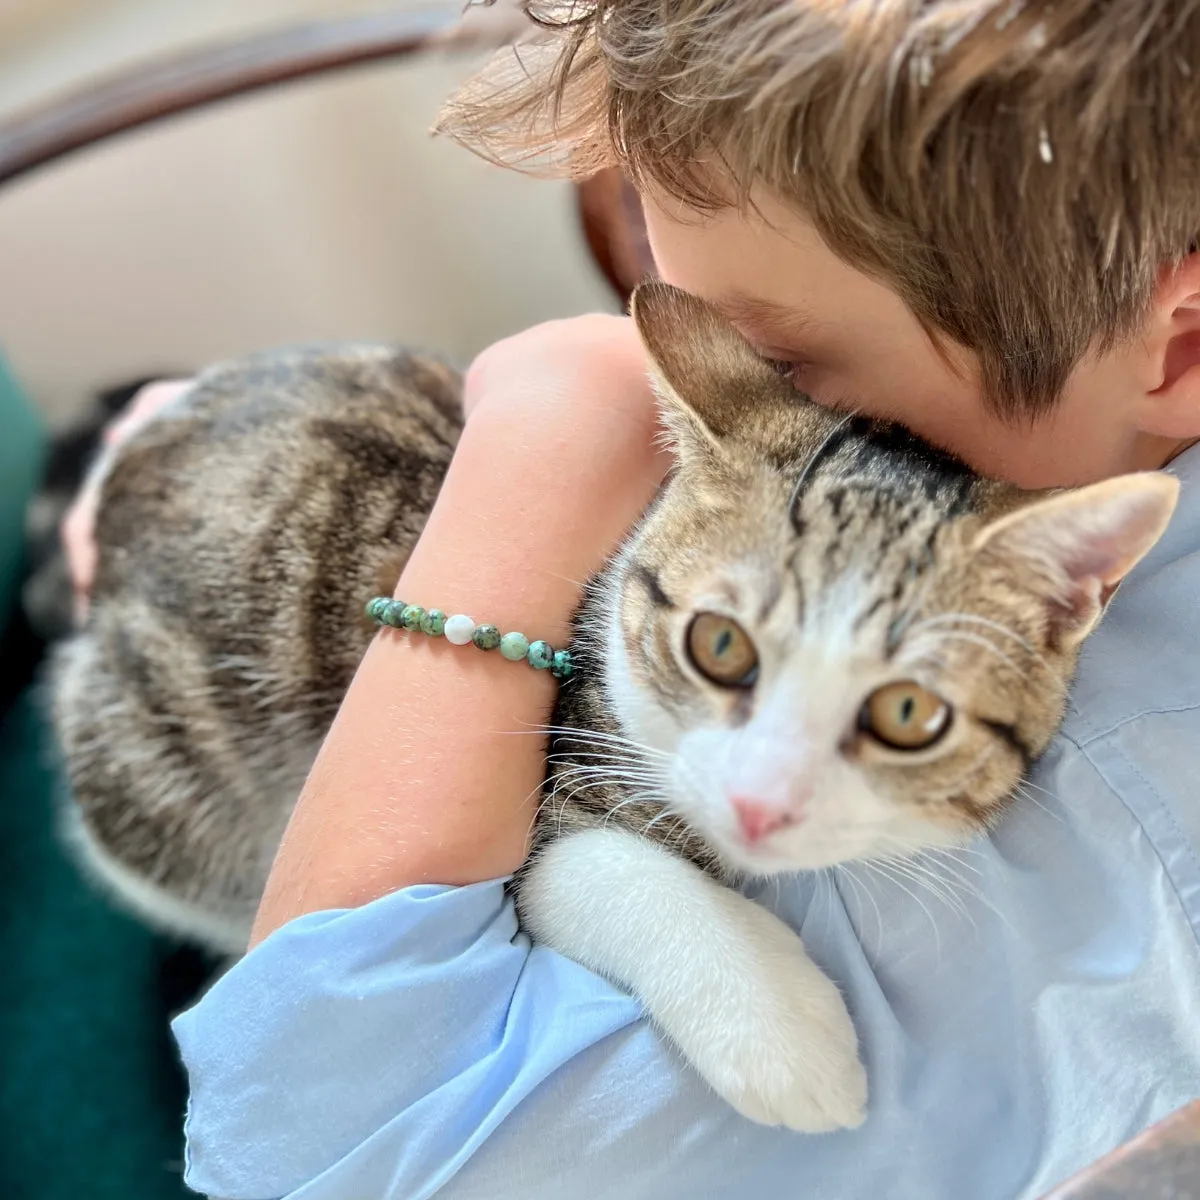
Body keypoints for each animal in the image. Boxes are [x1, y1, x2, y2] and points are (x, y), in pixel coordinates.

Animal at [51, 283, 1176, 1132]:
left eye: (909, 714)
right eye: (719, 645)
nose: (762, 804)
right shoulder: (559, 766)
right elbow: (584, 867)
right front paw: (779, 1032)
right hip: (145, 790)